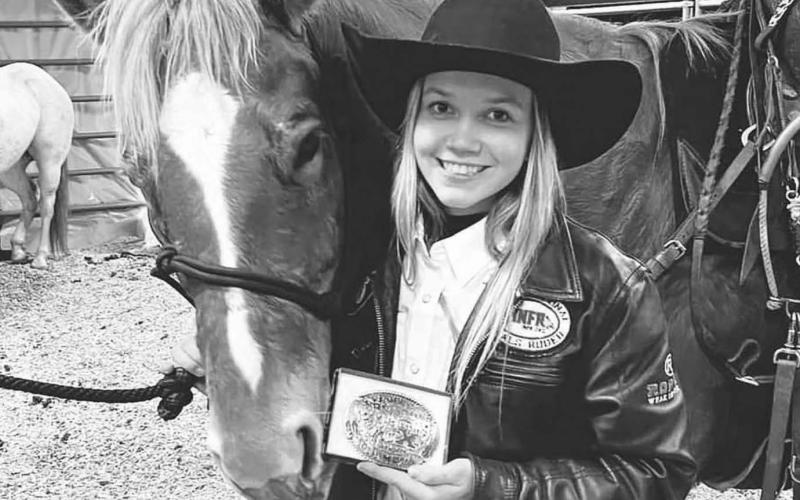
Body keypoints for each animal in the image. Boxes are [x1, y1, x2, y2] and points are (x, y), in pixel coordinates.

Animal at [0, 62, 71, 269]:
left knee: (46, 206)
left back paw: (40, 258)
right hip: (10, 168)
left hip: (50, 163)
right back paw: (17, 251)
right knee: (30, 197)